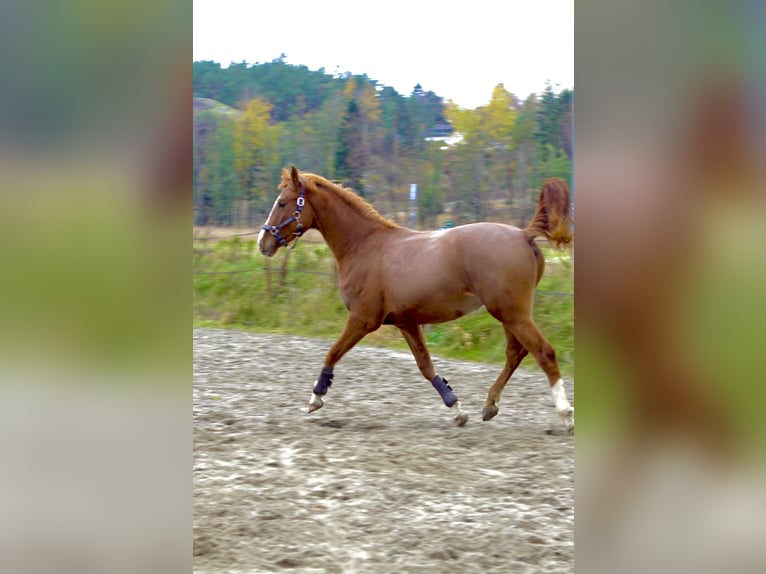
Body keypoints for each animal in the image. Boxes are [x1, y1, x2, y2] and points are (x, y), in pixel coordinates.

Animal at [258, 166, 574, 433]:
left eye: (283, 203)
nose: (264, 243)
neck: (364, 246)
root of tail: (524, 235)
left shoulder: (363, 319)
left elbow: (332, 352)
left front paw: (315, 398)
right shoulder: (407, 323)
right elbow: (426, 366)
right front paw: (457, 409)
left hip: (511, 312)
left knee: (543, 352)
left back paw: (565, 414)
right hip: (509, 313)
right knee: (515, 353)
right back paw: (489, 405)